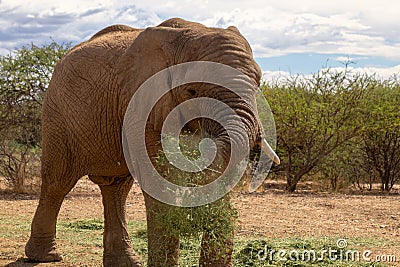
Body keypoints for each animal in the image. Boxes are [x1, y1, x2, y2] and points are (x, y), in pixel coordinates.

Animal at [23, 17, 276, 266]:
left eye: (258, 83)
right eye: (192, 91)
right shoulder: (142, 104)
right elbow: (158, 180)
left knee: (116, 189)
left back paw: (126, 261)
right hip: (57, 115)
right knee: (58, 182)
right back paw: (45, 257)